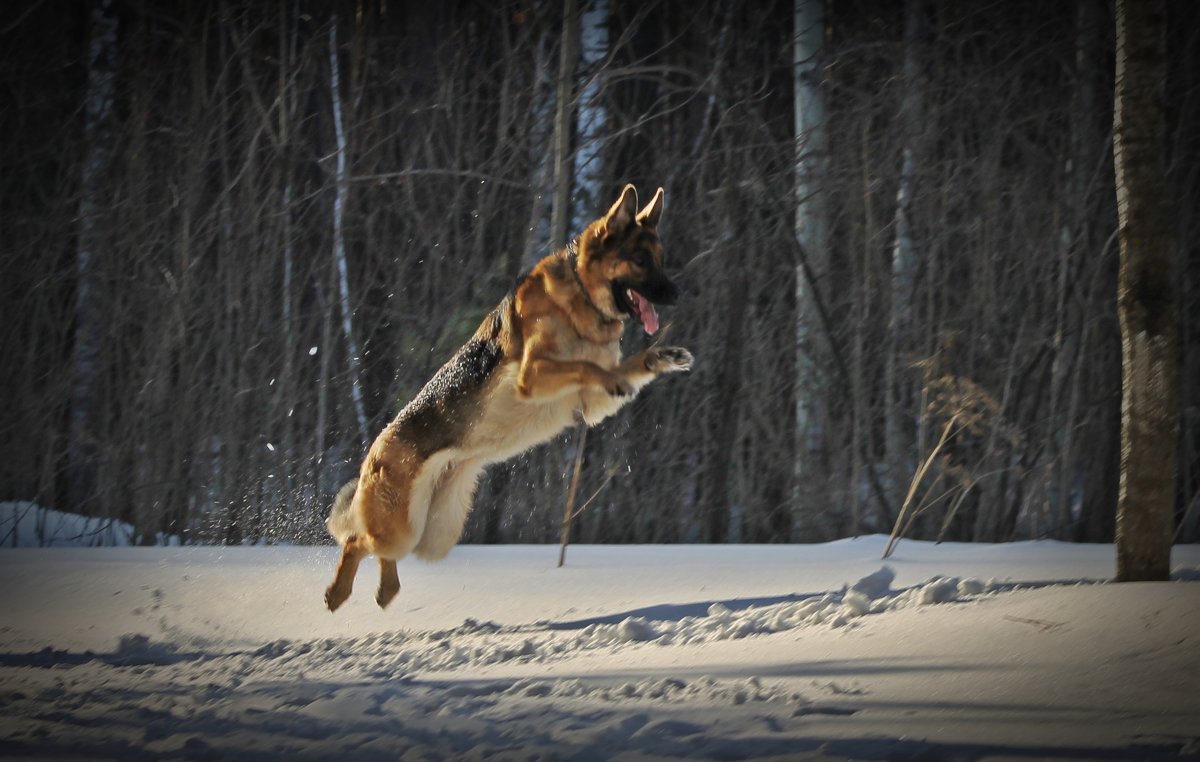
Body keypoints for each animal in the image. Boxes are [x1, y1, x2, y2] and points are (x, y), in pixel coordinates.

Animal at [324, 182, 696, 612]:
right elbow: (587, 365)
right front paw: (614, 372)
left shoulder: (591, 403)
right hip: (401, 527)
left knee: (383, 552)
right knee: (356, 541)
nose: (678, 292)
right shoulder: (532, 375)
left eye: (660, 260)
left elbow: (627, 365)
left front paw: (664, 357)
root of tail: (377, 445)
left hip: (432, 534)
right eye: (639, 260)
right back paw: (338, 592)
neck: (581, 297)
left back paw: (386, 591)